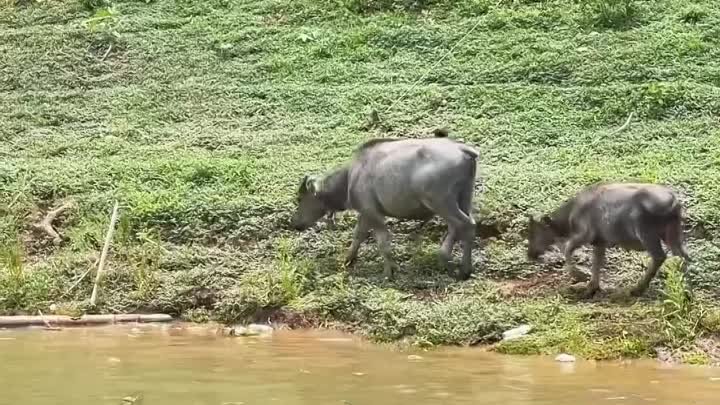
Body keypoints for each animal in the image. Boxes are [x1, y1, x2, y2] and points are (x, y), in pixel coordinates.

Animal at [290, 133, 480, 280]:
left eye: (300, 198)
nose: (294, 222)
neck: (351, 177)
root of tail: (463, 150)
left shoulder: (373, 214)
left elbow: (383, 243)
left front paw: (389, 272)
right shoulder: (365, 214)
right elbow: (358, 236)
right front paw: (348, 259)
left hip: (441, 203)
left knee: (464, 224)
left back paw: (457, 266)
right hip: (464, 198)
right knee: (463, 226)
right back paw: (453, 261)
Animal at [524, 182, 688, 296]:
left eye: (534, 232)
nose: (530, 254)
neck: (571, 215)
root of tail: (674, 202)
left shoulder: (584, 235)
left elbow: (568, 250)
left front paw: (580, 276)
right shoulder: (599, 242)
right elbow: (596, 263)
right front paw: (591, 288)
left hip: (647, 234)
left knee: (659, 256)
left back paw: (637, 289)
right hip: (672, 234)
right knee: (682, 256)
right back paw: (685, 289)